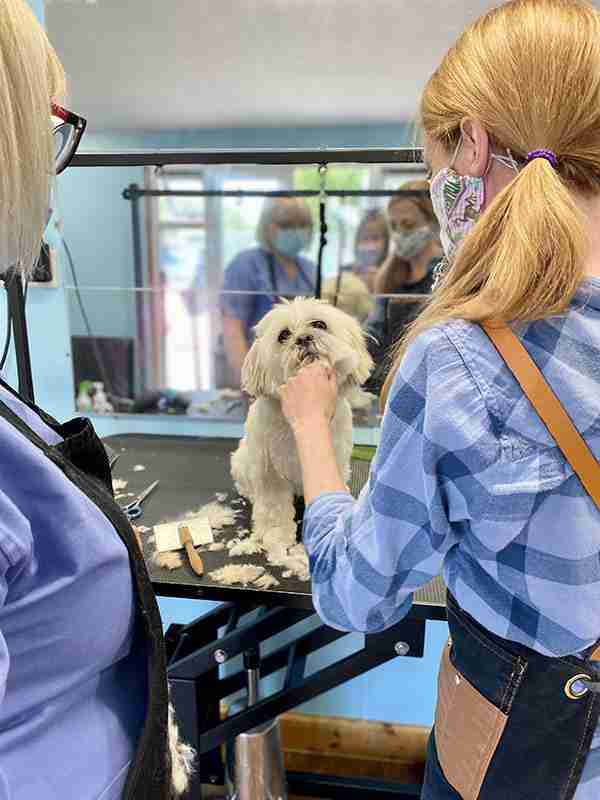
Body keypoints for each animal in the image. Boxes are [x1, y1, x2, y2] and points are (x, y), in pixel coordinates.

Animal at [230, 296, 370, 564]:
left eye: (319, 324)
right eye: (284, 335)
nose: (304, 338)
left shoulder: (336, 457)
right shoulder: (270, 473)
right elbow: (274, 509)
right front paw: (276, 538)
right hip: (242, 461)